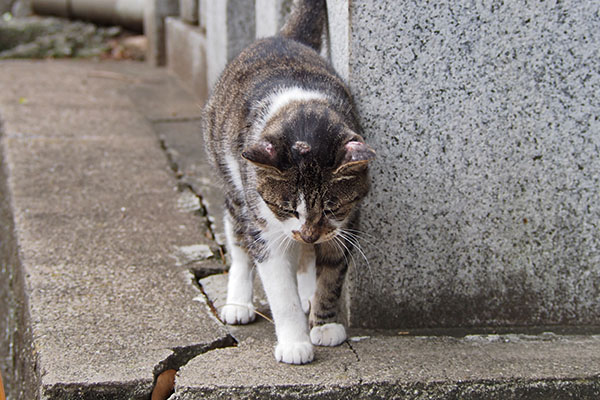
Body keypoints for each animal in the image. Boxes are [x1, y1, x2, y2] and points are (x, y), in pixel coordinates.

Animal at [206, 0, 376, 364]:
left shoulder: (346, 224)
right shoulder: (267, 227)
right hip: (234, 189)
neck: (302, 110)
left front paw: (325, 324)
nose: (308, 233)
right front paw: (295, 343)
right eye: (286, 208)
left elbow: (331, 273)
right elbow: (281, 292)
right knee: (239, 244)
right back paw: (238, 302)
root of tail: (285, 36)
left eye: (332, 208)